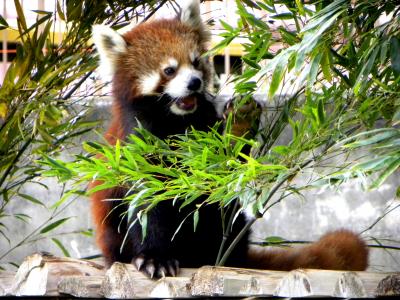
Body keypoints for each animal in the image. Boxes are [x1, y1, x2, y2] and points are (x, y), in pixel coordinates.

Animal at [91, 0, 368, 278]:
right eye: (169, 70)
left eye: (195, 62)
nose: (194, 82)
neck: (176, 120)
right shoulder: (137, 143)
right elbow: (147, 204)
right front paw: (155, 258)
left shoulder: (204, 132)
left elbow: (223, 167)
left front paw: (240, 121)